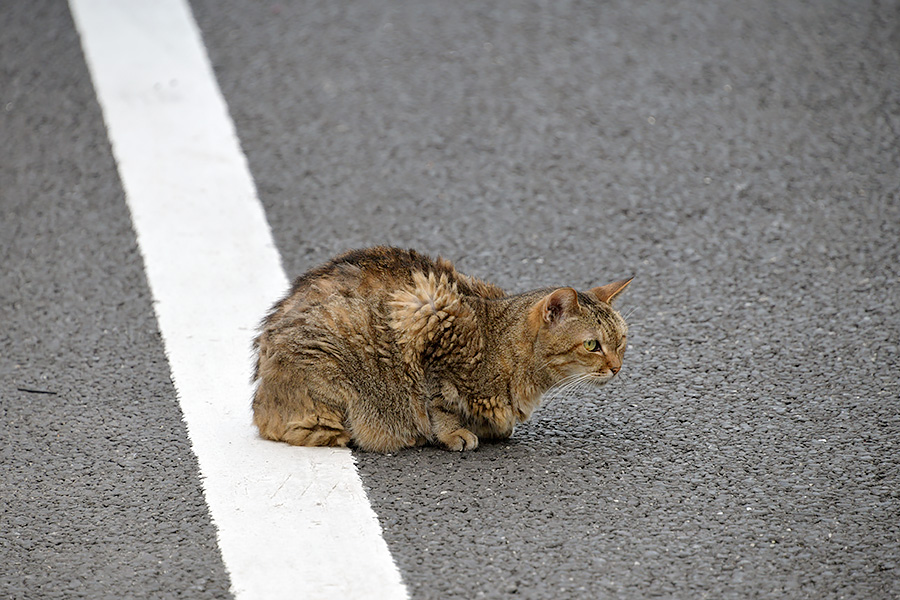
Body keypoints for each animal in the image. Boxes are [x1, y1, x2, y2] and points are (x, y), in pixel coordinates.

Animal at [251, 246, 632, 452]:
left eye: (621, 341)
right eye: (592, 345)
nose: (616, 367)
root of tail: (262, 405)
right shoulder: (428, 321)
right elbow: (438, 404)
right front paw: (453, 433)